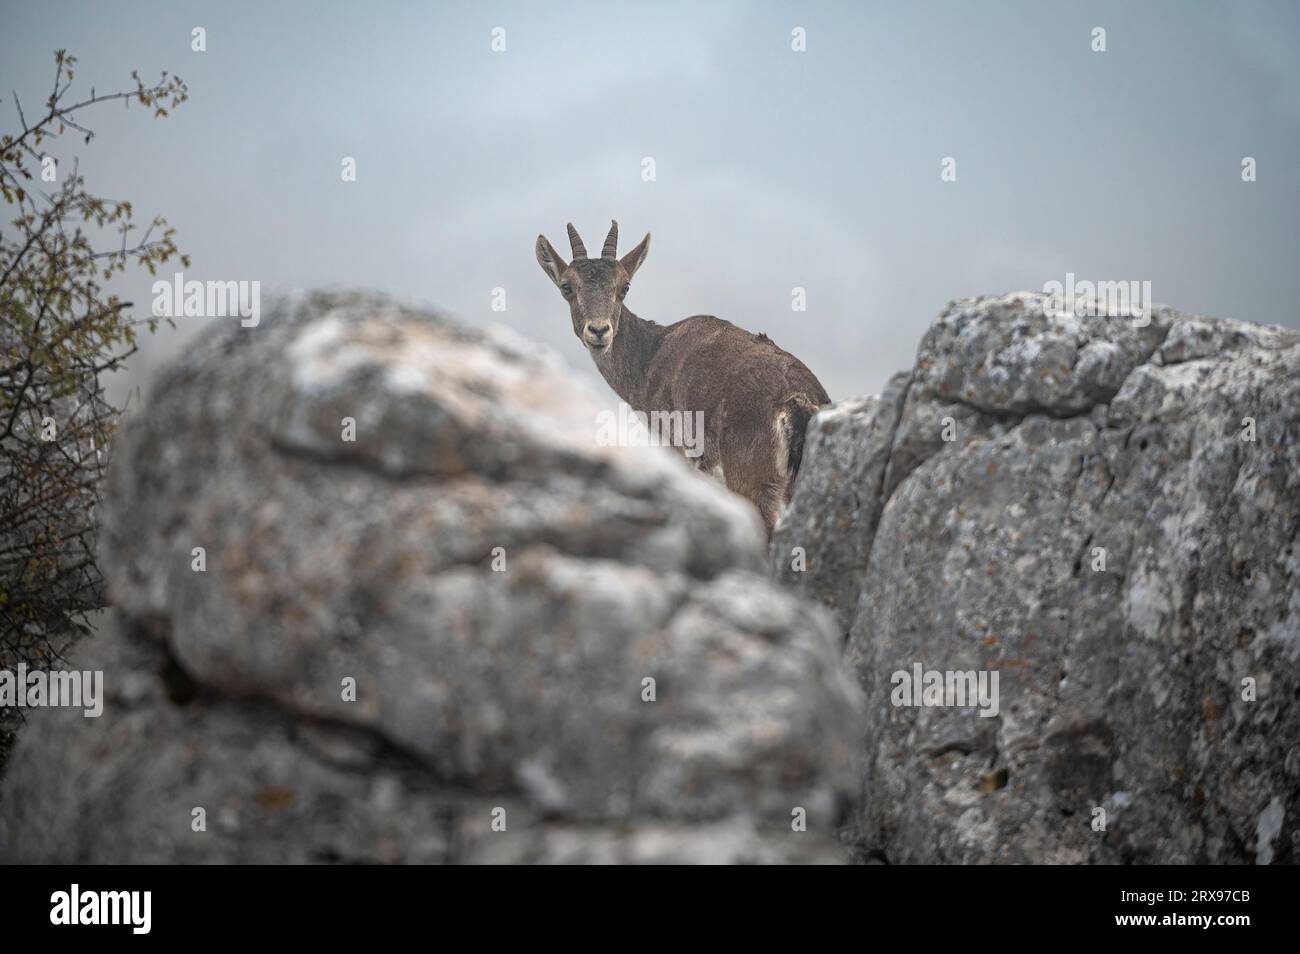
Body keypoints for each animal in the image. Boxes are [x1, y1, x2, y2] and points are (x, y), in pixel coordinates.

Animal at [535, 220, 830, 537]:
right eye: (566, 287)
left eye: (624, 286)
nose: (599, 331)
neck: (649, 357)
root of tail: (797, 403)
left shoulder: (673, 445)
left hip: (752, 479)